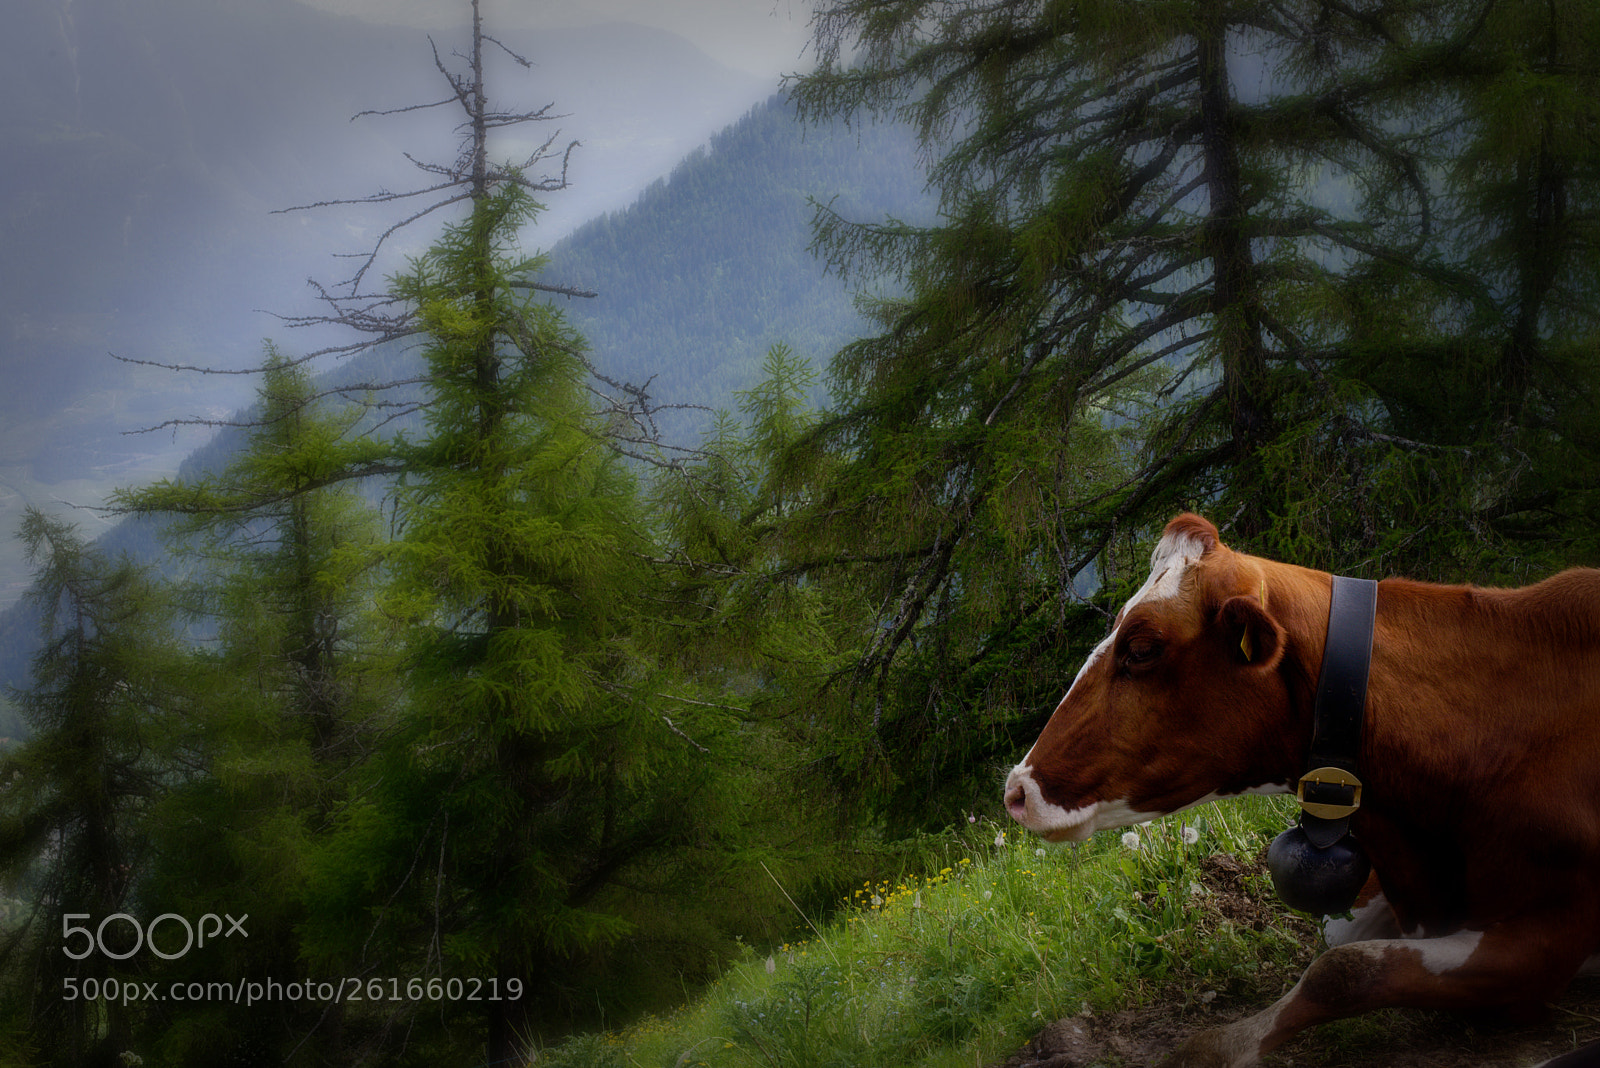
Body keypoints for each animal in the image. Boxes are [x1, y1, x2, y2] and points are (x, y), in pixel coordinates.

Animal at [1003, 513, 1600, 1067]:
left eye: (1143, 647)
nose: (1016, 790)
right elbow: (1337, 942)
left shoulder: (1553, 935)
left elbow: (1341, 970)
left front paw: (1212, 1047)